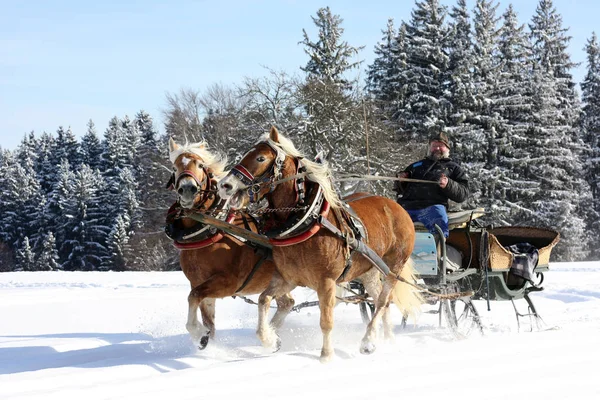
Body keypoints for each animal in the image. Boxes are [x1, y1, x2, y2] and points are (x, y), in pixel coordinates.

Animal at [168, 139, 294, 348]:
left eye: (200, 165)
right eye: (175, 167)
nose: (187, 189)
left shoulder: (228, 282)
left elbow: (193, 296)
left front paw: (196, 332)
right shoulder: (200, 283)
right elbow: (208, 321)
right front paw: (205, 340)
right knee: (287, 303)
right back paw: (273, 335)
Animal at [218, 127, 420, 362]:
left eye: (260, 158)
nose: (225, 185)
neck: (306, 220)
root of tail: (396, 207)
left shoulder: (326, 282)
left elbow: (326, 321)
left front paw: (326, 356)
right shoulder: (288, 277)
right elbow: (263, 300)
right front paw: (270, 339)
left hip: (392, 268)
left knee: (381, 301)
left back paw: (368, 340)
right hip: (369, 270)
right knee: (383, 301)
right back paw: (387, 340)